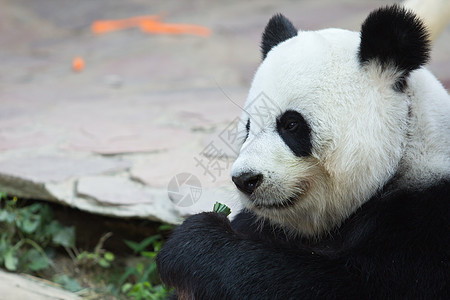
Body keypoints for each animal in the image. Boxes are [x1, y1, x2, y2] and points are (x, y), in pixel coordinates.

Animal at [156, 5, 448, 300]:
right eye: (248, 127)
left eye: (291, 124)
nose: (245, 179)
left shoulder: (424, 222)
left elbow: (342, 284)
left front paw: (193, 240)